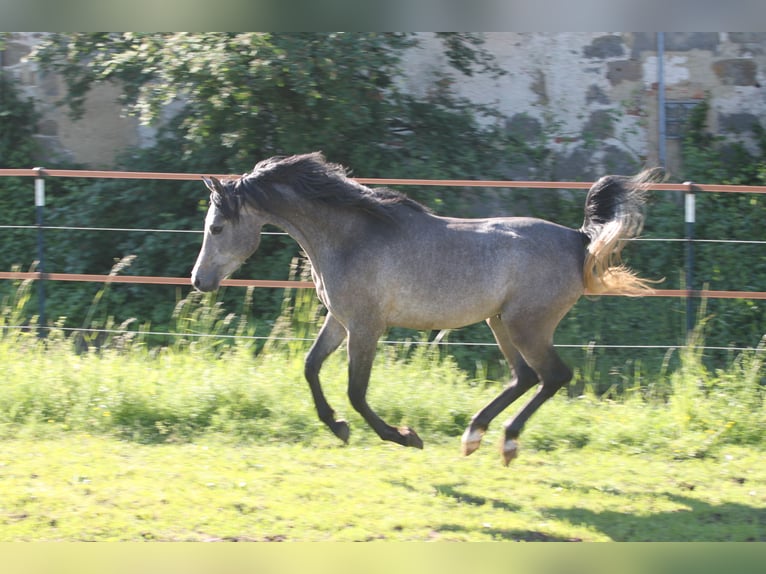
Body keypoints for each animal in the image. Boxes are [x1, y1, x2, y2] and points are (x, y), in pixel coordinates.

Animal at [189, 151, 664, 466]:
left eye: (216, 227)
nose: (198, 281)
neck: (350, 237)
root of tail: (578, 240)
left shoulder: (366, 326)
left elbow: (356, 392)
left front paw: (404, 436)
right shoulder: (341, 321)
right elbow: (310, 367)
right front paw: (338, 427)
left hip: (527, 325)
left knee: (554, 376)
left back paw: (507, 442)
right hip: (500, 322)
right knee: (525, 377)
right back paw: (473, 436)